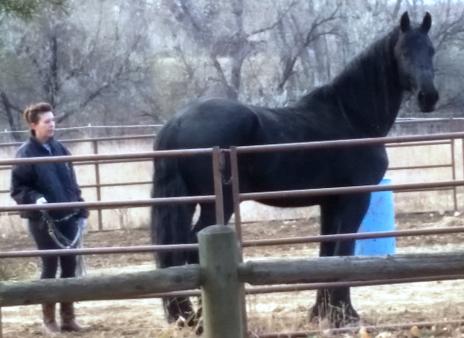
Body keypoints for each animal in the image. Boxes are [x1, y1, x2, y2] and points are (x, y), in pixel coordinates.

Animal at [152, 13, 438, 328]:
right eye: (404, 52)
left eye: (431, 51)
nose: (428, 96)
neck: (351, 116)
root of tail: (176, 122)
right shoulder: (355, 198)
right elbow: (344, 248)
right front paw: (344, 315)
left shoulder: (331, 203)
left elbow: (327, 253)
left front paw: (323, 313)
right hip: (217, 203)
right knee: (191, 248)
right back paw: (199, 319)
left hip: (187, 202)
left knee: (175, 251)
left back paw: (185, 316)